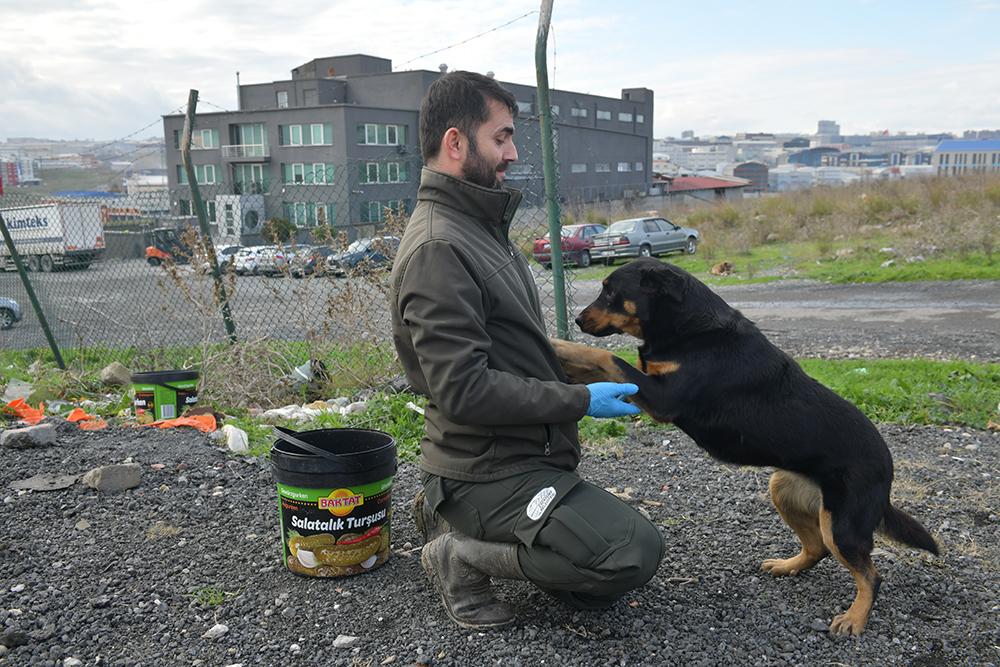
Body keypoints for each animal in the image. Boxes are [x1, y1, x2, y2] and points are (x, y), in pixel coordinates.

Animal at [556, 258, 936, 636]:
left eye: (610, 292)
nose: (577, 320)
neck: (688, 326)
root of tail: (887, 468)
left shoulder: (662, 397)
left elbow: (605, 356)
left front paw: (558, 343)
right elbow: (596, 367)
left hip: (842, 524)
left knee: (870, 575)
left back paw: (855, 618)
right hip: (784, 490)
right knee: (816, 548)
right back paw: (787, 566)